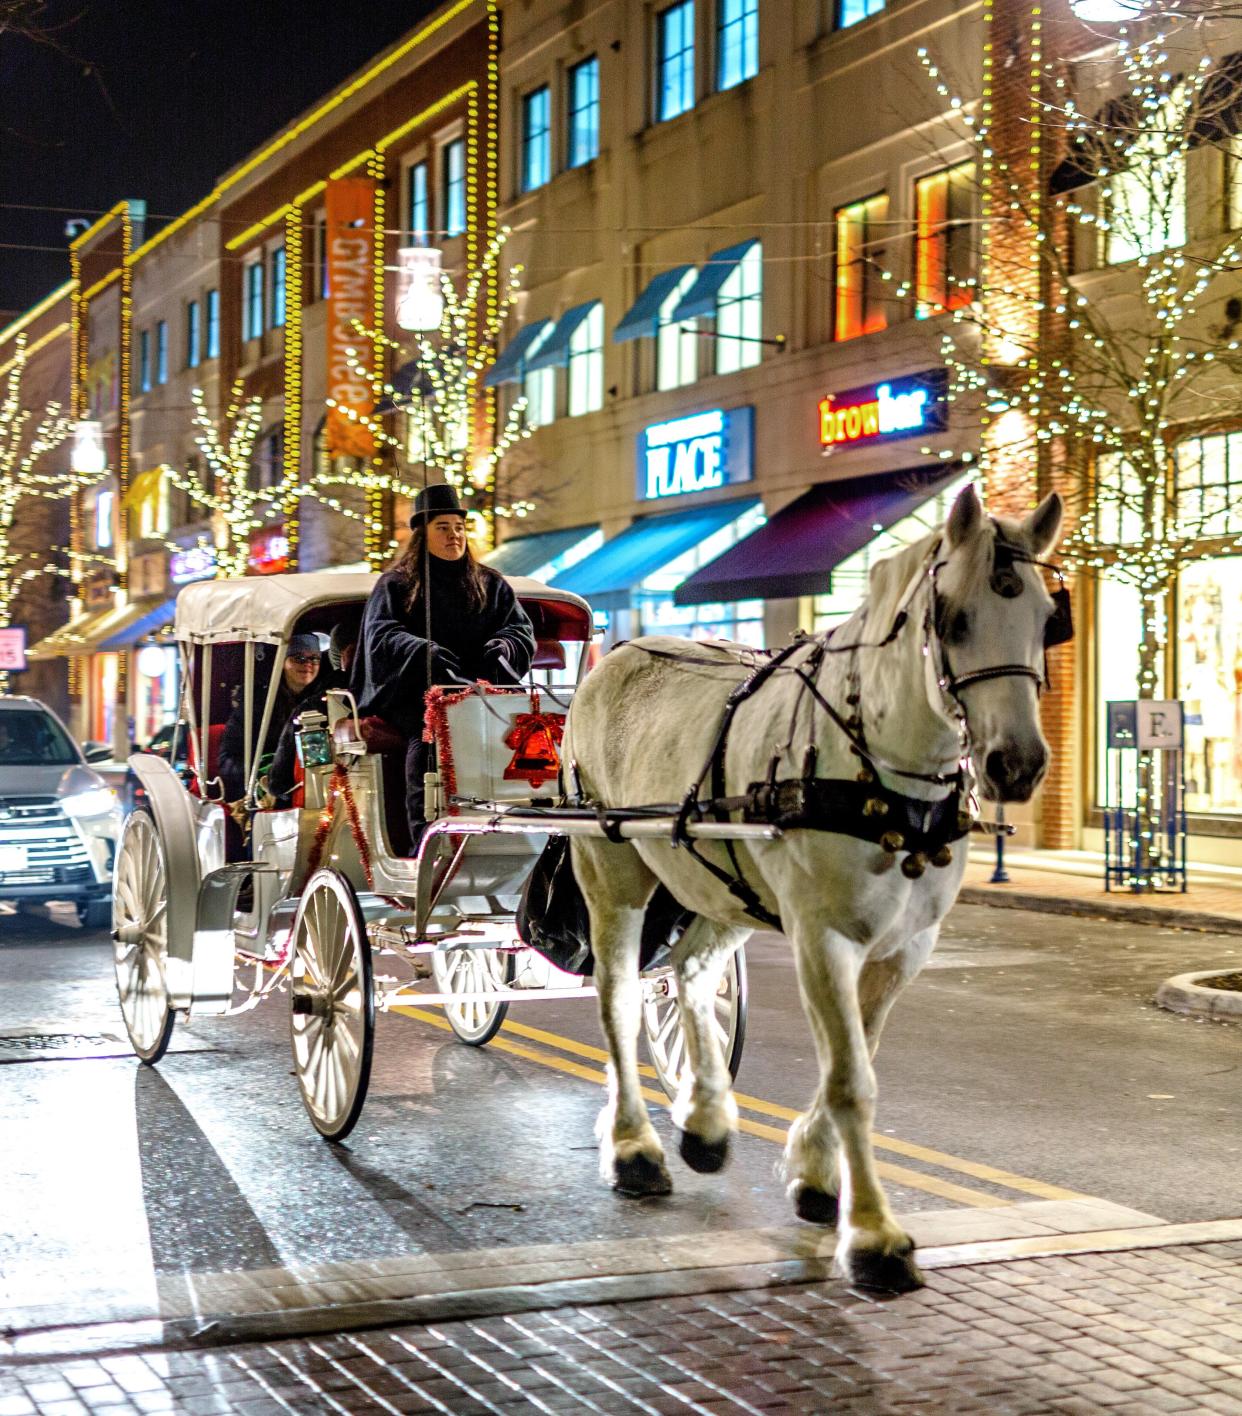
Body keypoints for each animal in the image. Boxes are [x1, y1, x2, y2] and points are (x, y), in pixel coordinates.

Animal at [560, 489, 1053, 1297]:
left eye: (1048, 617)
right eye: (953, 619)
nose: (1017, 764)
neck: (886, 781)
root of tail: (618, 653)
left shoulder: (906, 948)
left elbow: (860, 1054)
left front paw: (816, 1176)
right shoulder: (823, 936)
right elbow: (852, 1078)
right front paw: (875, 1236)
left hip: (724, 885)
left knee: (690, 973)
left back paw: (704, 1121)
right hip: (612, 874)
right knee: (620, 1002)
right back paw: (634, 1148)